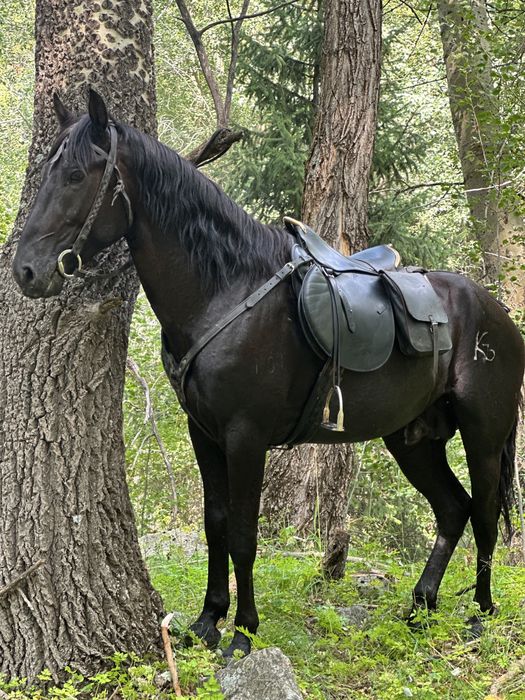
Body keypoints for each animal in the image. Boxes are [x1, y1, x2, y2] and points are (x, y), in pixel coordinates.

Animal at [13, 90, 525, 658]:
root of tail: (497, 312)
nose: (25, 271)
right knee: (453, 509)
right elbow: (215, 523)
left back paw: (480, 616)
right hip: (412, 439)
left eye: (76, 175)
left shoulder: (245, 436)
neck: (225, 291)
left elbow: (242, 533)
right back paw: (420, 608)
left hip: (482, 435)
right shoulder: (205, 433)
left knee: (484, 513)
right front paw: (207, 621)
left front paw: (242, 632)